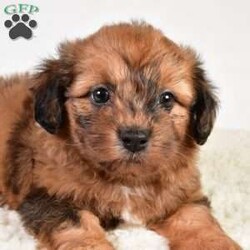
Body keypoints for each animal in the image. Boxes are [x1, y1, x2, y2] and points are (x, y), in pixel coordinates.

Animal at [0, 22, 240, 250]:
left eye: (167, 98)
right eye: (100, 94)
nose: (134, 138)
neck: (126, 180)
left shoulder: (182, 197)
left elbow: (197, 220)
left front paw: (218, 243)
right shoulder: (49, 198)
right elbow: (79, 229)